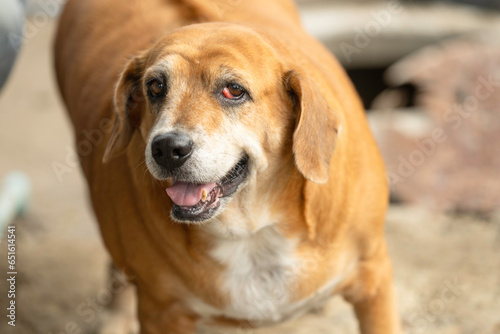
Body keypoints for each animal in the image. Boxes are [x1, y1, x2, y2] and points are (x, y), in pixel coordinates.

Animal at [53, 0, 398, 332]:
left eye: (233, 90)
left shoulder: (374, 279)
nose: (167, 148)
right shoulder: (162, 311)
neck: (252, 230)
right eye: (155, 87)